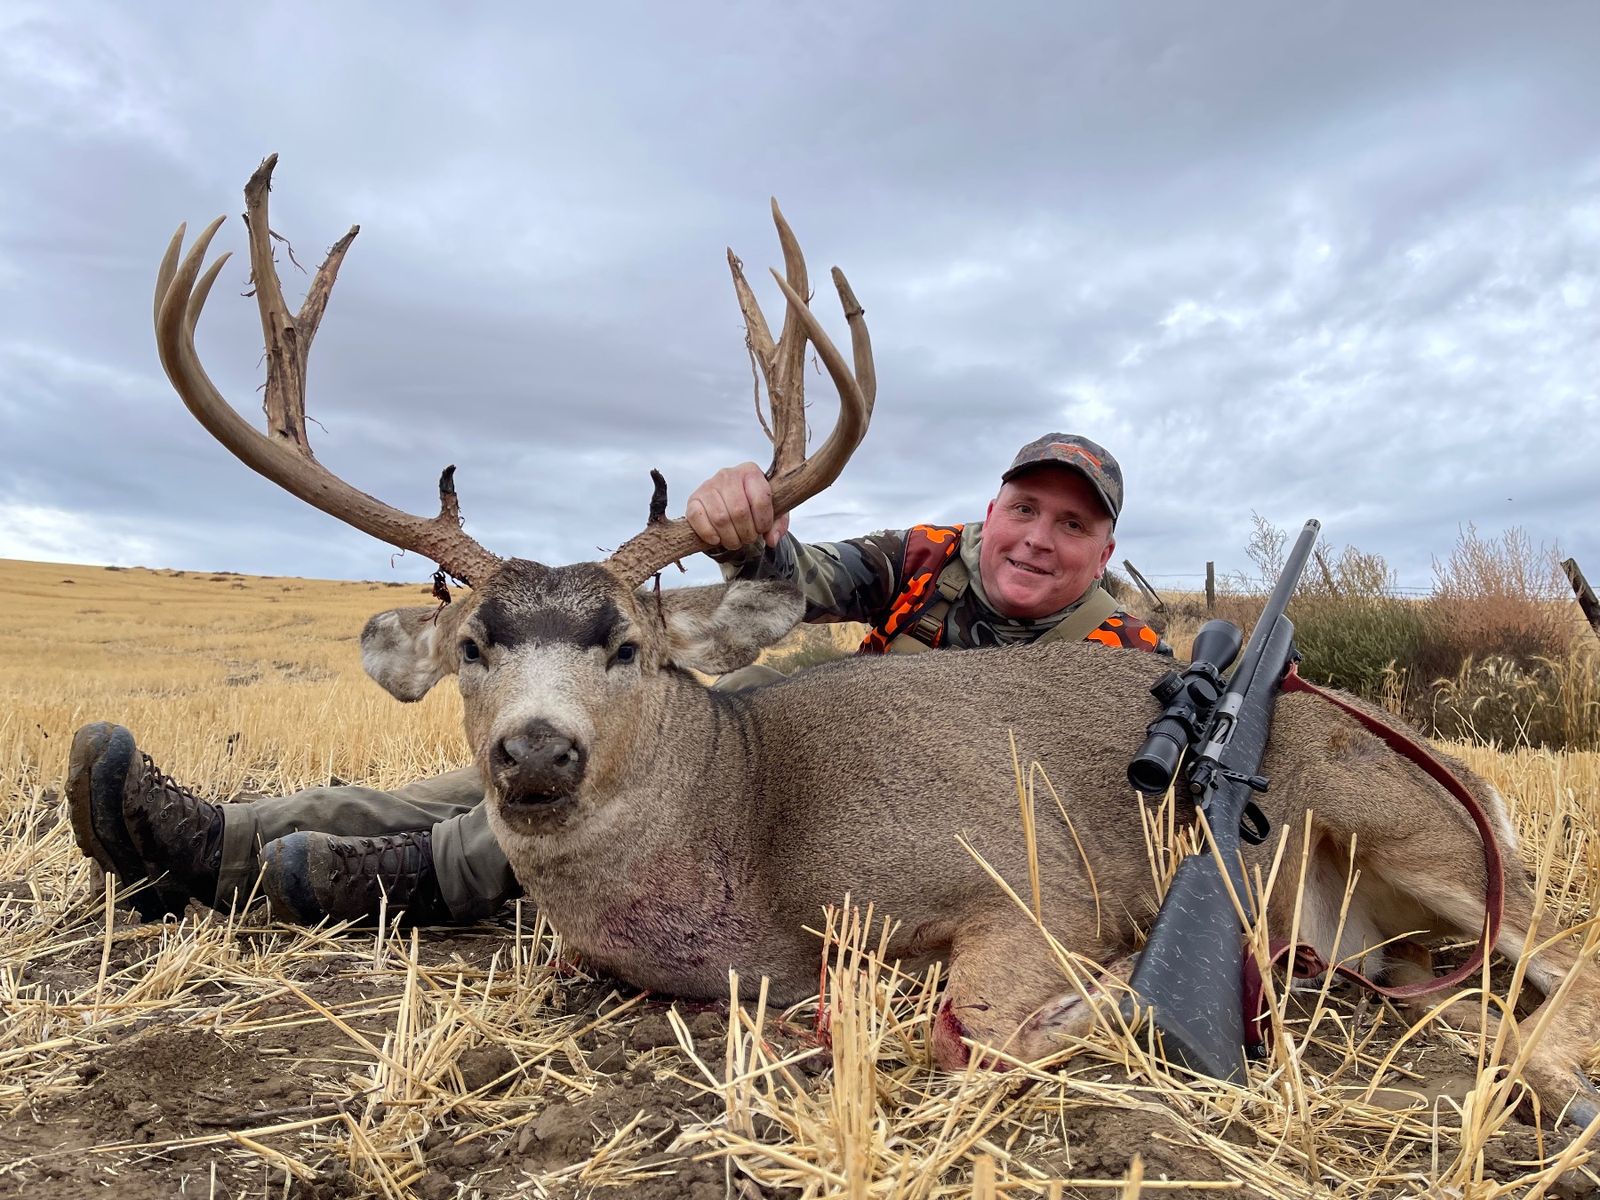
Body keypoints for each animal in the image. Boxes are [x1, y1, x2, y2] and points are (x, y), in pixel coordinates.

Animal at [151, 156, 1600, 1129]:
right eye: (471, 646)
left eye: (628, 646)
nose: (538, 752)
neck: (744, 828)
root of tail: (1468, 785)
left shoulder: (1027, 876)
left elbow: (986, 1025)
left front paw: (1099, 997)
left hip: (1392, 822)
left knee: (1557, 943)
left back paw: (1542, 1075)